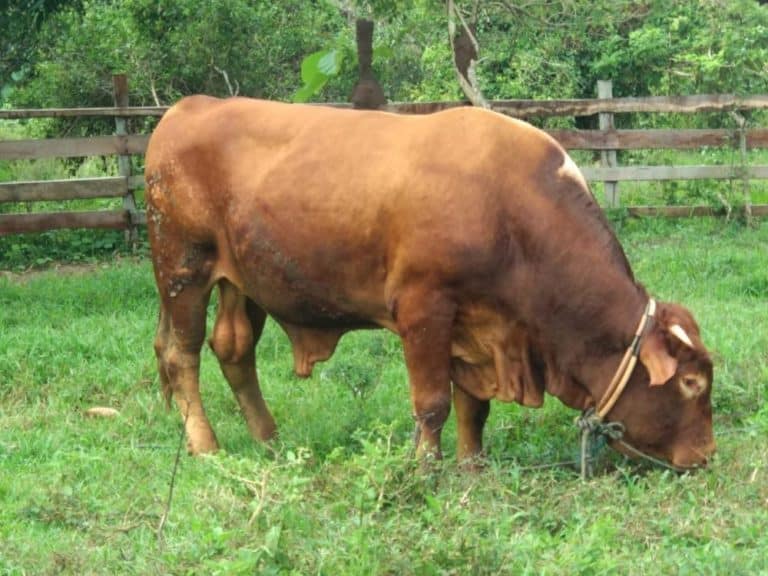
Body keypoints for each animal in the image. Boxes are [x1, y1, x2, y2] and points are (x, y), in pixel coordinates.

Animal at [147, 97, 716, 470]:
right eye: (692, 383)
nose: (706, 454)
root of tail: (187, 107)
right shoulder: (424, 310)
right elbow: (434, 402)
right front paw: (425, 468)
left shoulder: (478, 326)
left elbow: (473, 405)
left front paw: (472, 464)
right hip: (183, 271)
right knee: (181, 356)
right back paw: (206, 445)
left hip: (243, 282)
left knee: (233, 350)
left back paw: (267, 439)